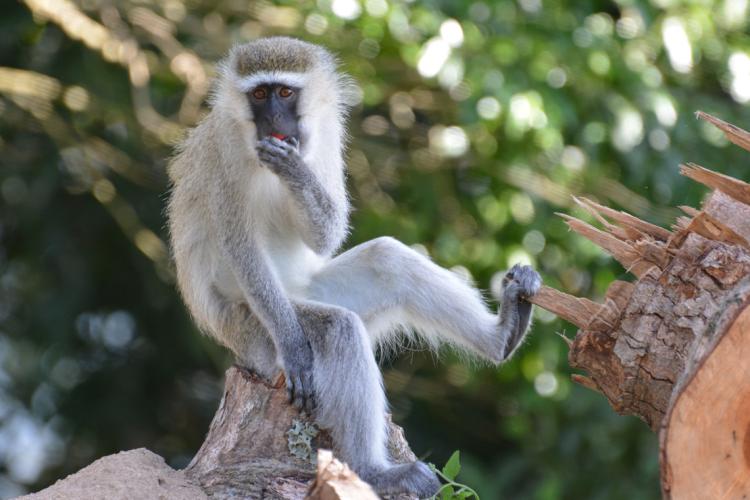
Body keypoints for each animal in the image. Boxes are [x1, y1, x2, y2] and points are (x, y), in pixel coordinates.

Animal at [166, 37, 540, 498]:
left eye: (285, 92)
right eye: (259, 94)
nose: (274, 119)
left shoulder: (327, 133)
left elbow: (326, 236)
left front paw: (294, 169)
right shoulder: (225, 153)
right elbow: (241, 250)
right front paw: (295, 347)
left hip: (313, 292)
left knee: (388, 260)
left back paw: (503, 334)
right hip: (253, 333)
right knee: (338, 327)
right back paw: (371, 469)